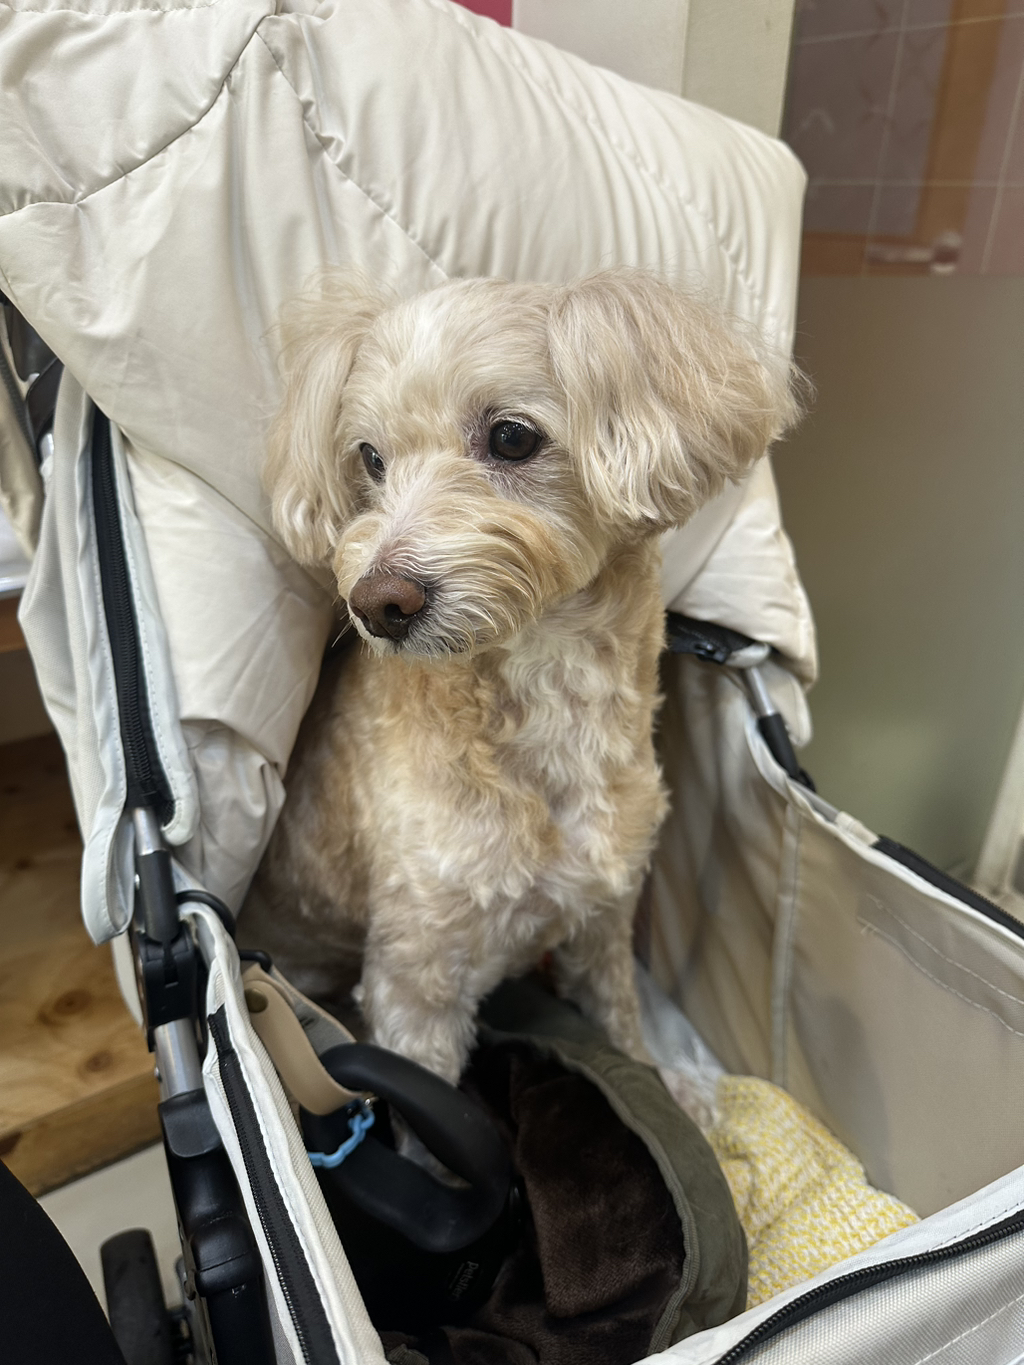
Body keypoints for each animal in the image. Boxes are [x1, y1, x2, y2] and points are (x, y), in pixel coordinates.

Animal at [244, 268, 797, 1084]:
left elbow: (624, 1028)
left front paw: (670, 1087)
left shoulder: (602, 927)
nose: (377, 603)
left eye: (511, 436)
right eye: (371, 457)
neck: (550, 695)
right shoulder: (417, 979)